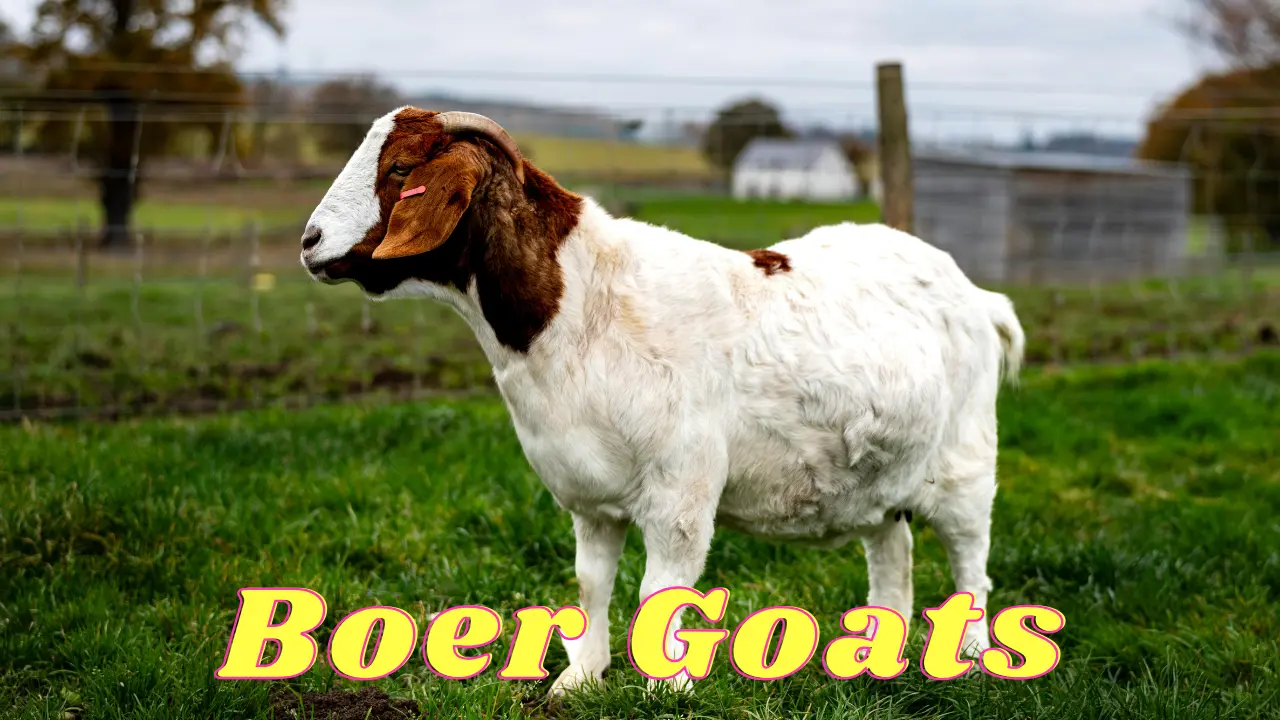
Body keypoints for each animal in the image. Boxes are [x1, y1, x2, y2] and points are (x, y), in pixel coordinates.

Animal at [300, 107, 1026, 695]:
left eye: (400, 168)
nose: (309, 242)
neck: (580, 303)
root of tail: (977, 295)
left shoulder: (682, 486)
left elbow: (660, 588)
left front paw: (665, 685)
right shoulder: (589, 495)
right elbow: (590, 583)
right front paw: (579, 679)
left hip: (965, 461)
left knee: (971, 562)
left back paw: (970, 655)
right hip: (880, 475)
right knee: (892, 552)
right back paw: (875, 657)